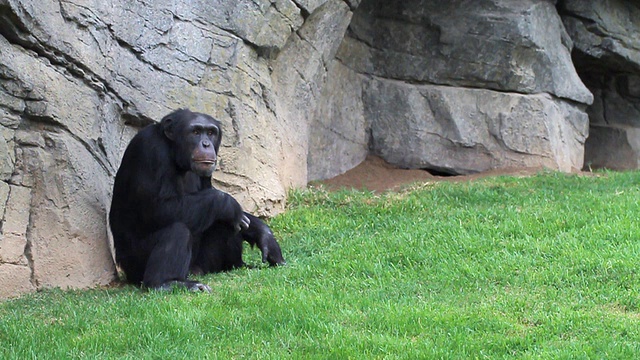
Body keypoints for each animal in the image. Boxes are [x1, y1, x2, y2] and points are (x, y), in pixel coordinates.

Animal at [109, 108, 284, 292]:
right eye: (195, 132)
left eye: (210, 133)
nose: (206, 144)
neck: (177, 156)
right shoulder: (150, 149)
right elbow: (157, 209)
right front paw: (229, 205)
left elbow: (219, 202)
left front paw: (263, 234)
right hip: (136, 267)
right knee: (178, 230)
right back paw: (166, 283)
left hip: (202, 264)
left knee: (224, 223)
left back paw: (237, 266)